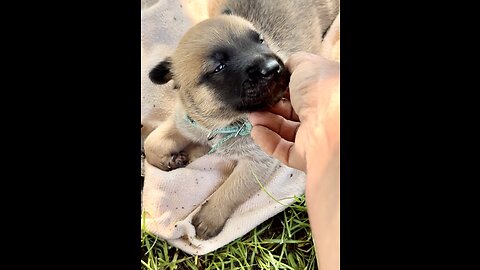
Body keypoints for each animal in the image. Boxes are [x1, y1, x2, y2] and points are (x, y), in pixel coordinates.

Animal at [144, 0, 340, 240]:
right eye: (218, 67)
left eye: (261, 40)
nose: (273, 67)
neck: (223, 124)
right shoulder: (185, 123)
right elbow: (151, 142)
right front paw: (168, 160)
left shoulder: (257, 162)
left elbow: (233, 189)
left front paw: (209, 217)